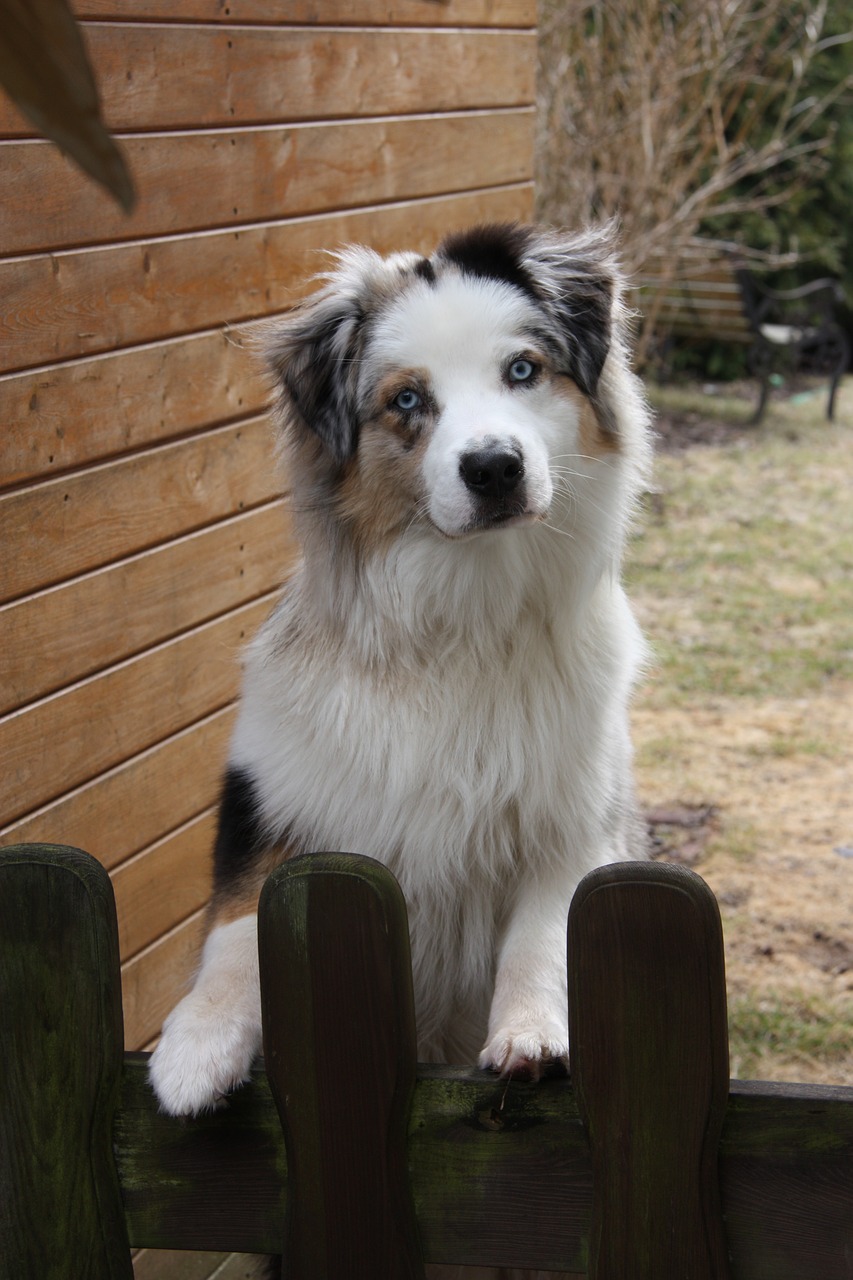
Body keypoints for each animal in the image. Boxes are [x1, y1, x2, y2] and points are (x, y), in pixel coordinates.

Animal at [147, 222, 650, 1121]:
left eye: (522, 370)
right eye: (407, 401)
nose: (493, 468)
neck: (461, 623)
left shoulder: (575, 818)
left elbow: (543, 936)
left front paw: (529, 1033)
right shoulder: (270, 797)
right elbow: (237, 927)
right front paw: (194, 1045)